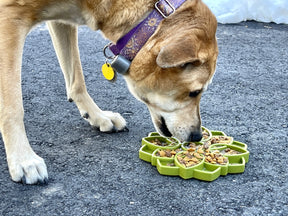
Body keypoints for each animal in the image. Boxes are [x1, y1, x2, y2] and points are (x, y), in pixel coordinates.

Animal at [0, 0, 216, 185]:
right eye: (194, 92)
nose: (197, 136)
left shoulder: (61, 22)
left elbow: (76, 79)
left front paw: (98, 116)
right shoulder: (10, 17)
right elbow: (12, 106)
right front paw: (23, 159)